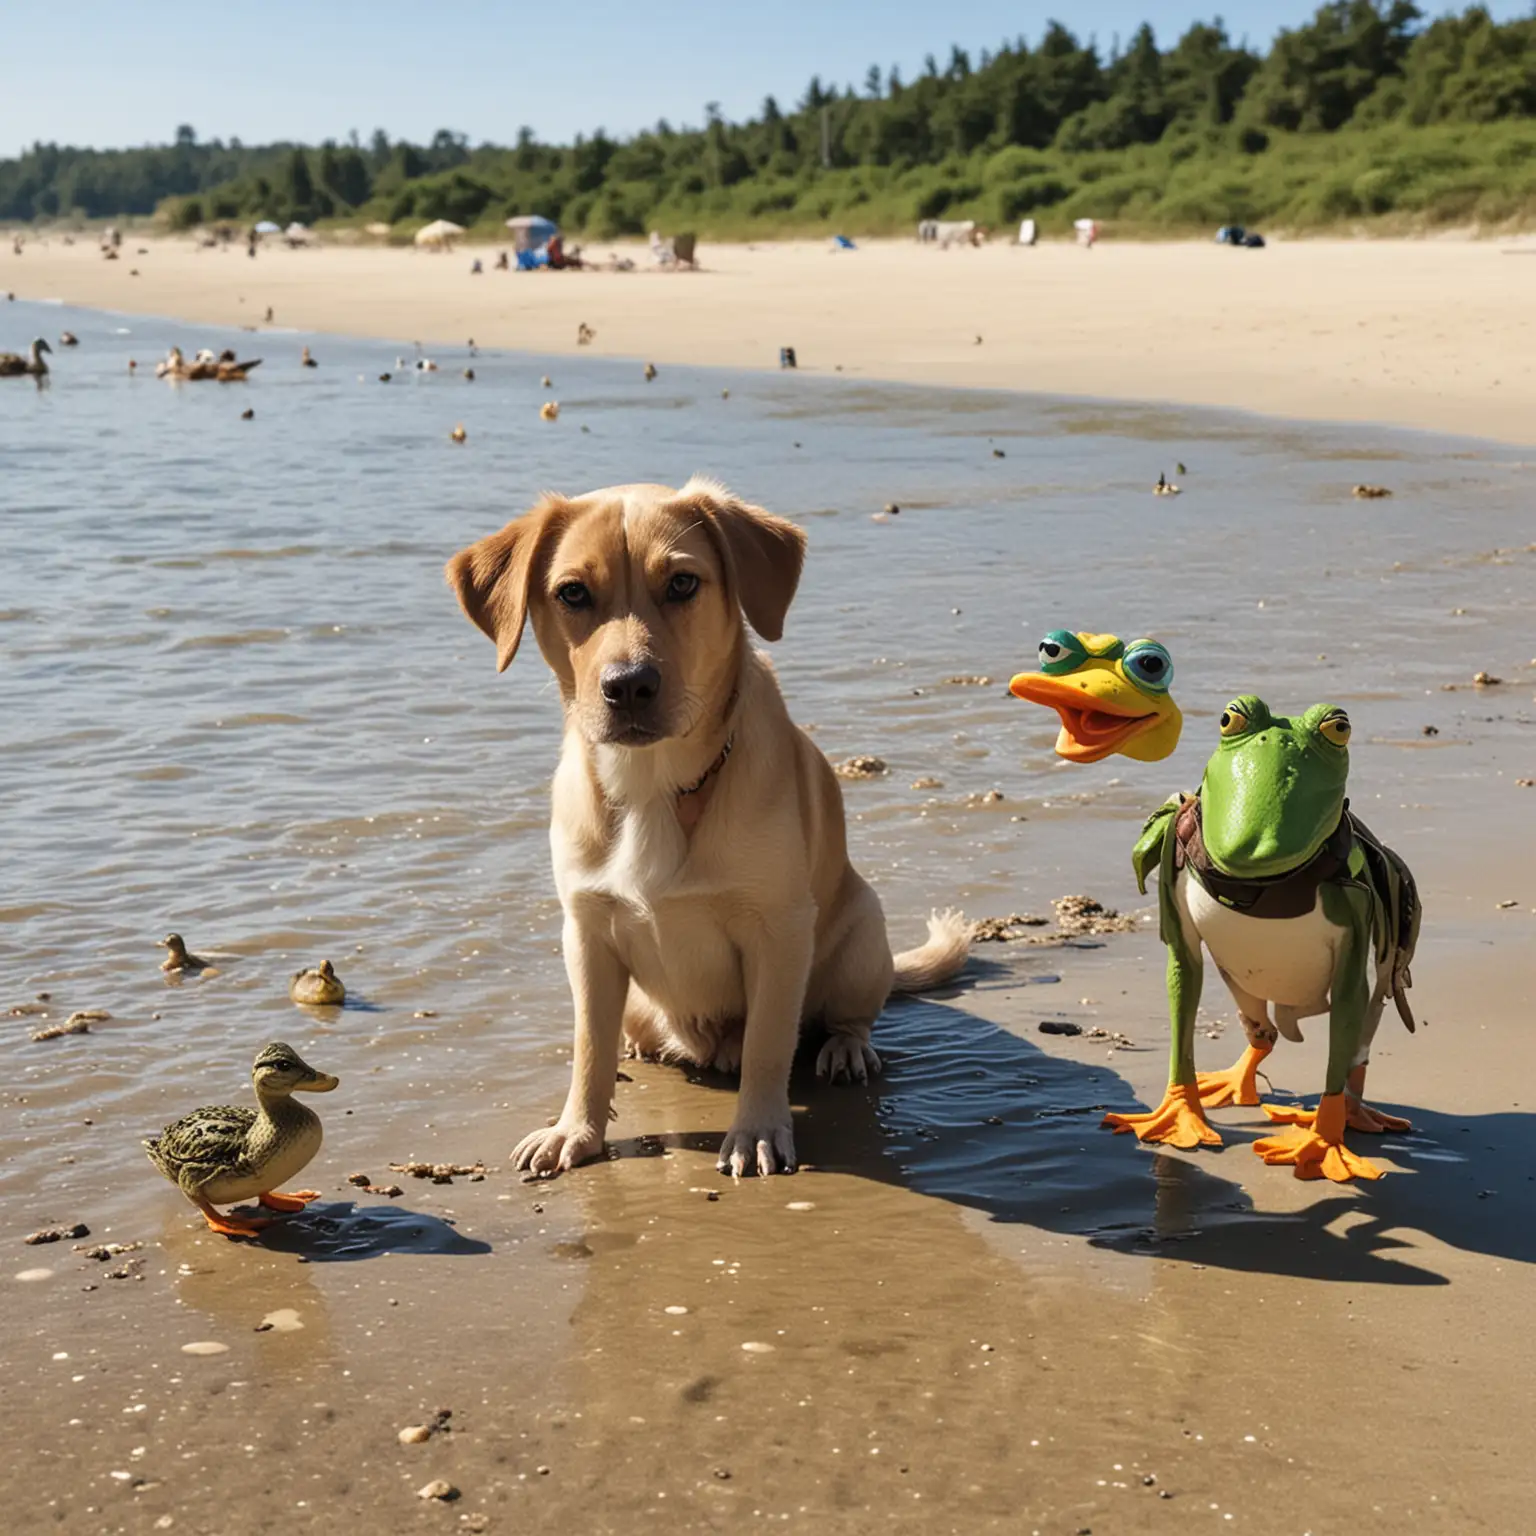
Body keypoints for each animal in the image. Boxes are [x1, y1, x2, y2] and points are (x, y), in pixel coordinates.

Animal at [448, 479, 970, 1173]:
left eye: (682, 583)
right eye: (572, 593)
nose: (629, 686)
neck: (654, 788)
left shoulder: (778, 932)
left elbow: (768, 1045)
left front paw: (757, 1130)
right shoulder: (585, 933)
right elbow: (588, 1047)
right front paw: (575, 1131)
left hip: (864, 929)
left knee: (844, 1016)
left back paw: (845, 1047)